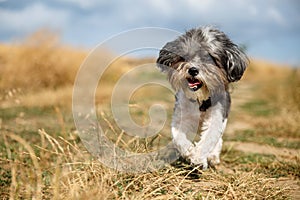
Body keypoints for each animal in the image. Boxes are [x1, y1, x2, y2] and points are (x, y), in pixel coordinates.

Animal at [156, 25, 247, 169]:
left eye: (210, 58)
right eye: (186, 56)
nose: (193, 70)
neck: (201, 100)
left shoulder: (217, 116)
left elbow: (210, 138)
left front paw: (199, 158)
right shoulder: (182, 115)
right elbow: (179, 138)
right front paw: (189, 152)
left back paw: (213, 157)